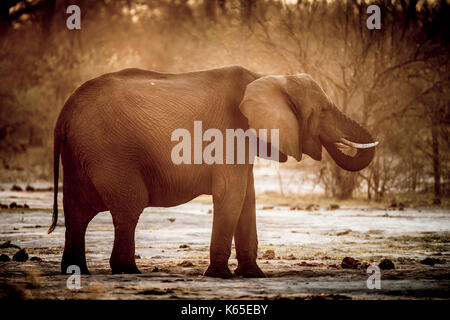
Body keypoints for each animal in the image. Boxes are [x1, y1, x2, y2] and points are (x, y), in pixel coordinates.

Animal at [49, 65, 378, 278]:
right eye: (323, 110)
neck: (267, 76)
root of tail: (63, 114)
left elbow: (247, 198)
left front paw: (254, 275)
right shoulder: (229, 133)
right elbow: (231, 195)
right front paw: (220, 275)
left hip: (82, 153)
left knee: (77, 213)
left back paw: (77, 271)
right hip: (110, 152)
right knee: (129, 207)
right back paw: (128, 270)